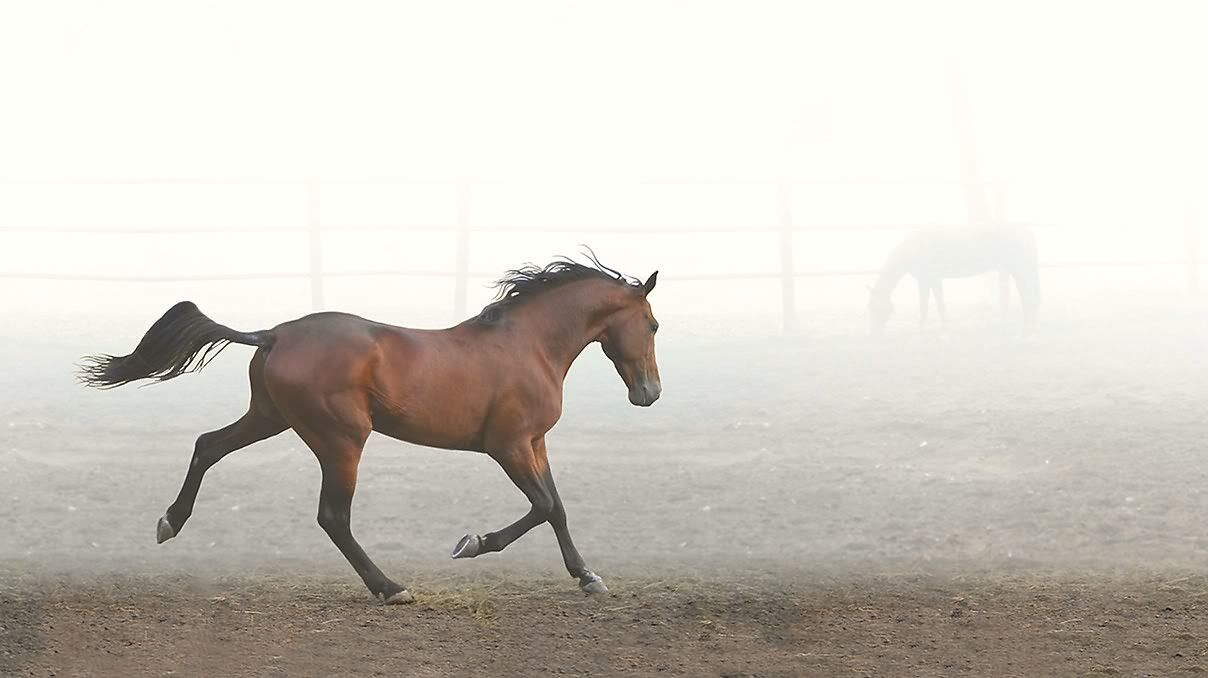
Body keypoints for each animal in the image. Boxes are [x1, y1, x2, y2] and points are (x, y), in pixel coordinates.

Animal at [78, 255, 661, 604]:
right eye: (654, 324)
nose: (650, 393)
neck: (529, 346)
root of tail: (273, 334)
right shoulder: (508, 446)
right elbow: (541, 506)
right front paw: (470, 544)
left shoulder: (536, 444)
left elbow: (557, 507)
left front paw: (589, 577)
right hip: (341, 440)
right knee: (332, 517)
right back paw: (390, 588)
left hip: (270, 418)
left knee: (207, 446)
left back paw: (169, 522)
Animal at [867, 225, 1039, 336]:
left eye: (875, 307)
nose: (875, 334)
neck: (913, 248)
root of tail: (1027, 232)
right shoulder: (934, 279)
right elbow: (940, 304)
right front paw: (945, 329)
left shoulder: (925, 280)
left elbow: (925, 306)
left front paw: (921, 331)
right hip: (1014, 270)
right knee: (1026, 296)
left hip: (1018, 269)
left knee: (1027, 295)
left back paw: (1026, 328)